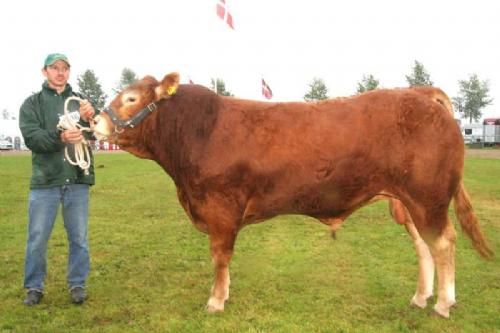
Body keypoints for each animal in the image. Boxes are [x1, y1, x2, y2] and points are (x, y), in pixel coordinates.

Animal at [94, 72, 492, 316]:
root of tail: (420, 93)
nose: (95, 120)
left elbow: (220, 256)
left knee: (443, 242)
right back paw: (421, 297)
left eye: (131, 98)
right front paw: (225, 294)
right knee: (424, 246)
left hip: (428, 198)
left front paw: (216, 301)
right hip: (407, 203)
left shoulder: (221, 208)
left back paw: (443, 304)